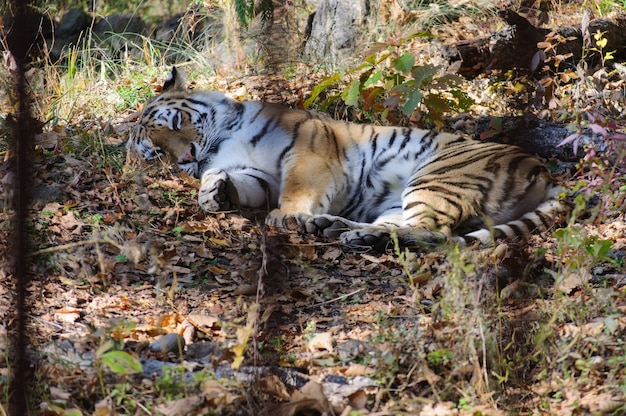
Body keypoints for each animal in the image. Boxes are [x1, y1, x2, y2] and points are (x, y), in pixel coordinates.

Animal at [128, 67, 564, 249]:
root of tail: (544, 171)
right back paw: (344, 230)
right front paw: (213, 192)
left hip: (437, 175)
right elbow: (235, 182)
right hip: (404, 197)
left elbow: (296, 191)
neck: (224, 140)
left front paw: (286, 217)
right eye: (157, 153)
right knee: (407, 226)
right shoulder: (258, 174)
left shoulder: (306, 155)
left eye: (176, 121)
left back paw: (339, 230)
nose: (185, 157)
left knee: (437, 234)